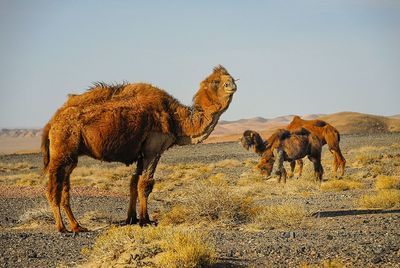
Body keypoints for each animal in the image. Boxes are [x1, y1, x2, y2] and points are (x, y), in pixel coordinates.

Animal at [41, 65, 236, 232]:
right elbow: (145, 184)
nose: (231, 85)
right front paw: (145, 220)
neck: (177, 119)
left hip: (70, 155)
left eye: (232, 78)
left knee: (65, 186)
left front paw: (131, 218)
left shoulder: (142, 153)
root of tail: (51, 122)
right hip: (62, 149)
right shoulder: (153, 149)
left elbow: (133, 183)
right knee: (53, 187)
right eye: (216, 81)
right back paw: (61, 227)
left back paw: (77, 226)